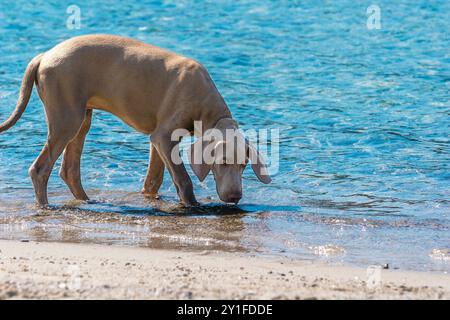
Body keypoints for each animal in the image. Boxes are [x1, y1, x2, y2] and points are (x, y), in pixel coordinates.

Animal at [0, 33, 270, 206]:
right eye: (222, 162)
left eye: (244, 165)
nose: (235, 197)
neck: (209, 110)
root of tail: (44, 55)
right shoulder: (163, 136)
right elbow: (183, 178)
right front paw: (193, 206)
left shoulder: (158, 139)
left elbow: (155, 178)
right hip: (66, 116)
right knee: (40, 168)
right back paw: (46, 207)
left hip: (81, 117)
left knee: (69, 169)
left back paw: (87, 201)